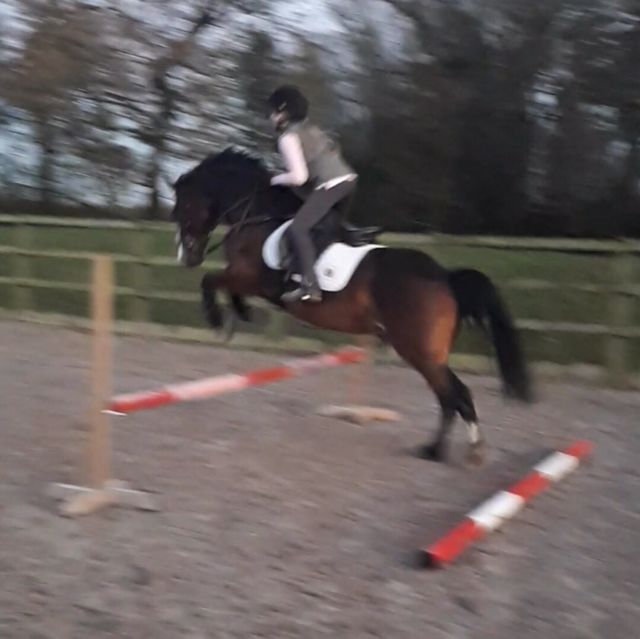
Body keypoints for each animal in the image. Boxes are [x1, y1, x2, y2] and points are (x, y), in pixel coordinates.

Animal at [170, 147, 532, 465]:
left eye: (185, 204)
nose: (187, 257)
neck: (260, 215)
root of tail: (444, 277)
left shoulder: (252, 279)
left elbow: (212, 281)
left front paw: (219, 320)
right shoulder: (247, 279)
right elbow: (222, 285)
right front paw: (239, 313)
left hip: (419, 351)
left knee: (452, 396)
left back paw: (443, 451)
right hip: (431, 353)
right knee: (453, 396)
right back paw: (445, 449)